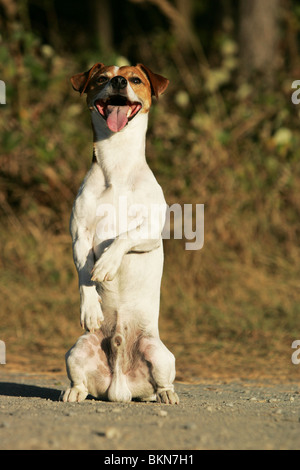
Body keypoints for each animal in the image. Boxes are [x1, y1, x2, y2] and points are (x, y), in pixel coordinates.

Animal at [61, 62, 178, 404]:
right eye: (101, 78)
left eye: (135, 79)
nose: (117, 81)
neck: (117, 167)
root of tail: (119, 385)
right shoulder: (79, 237)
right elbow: (84, 274)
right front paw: (91, 308)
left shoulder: (152, 230)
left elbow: (123, 236)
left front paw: (106, 264)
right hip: (77, 350)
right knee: (80, 381)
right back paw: (73, 392)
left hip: (160, 354)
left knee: (161, 384)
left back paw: (166, 396)